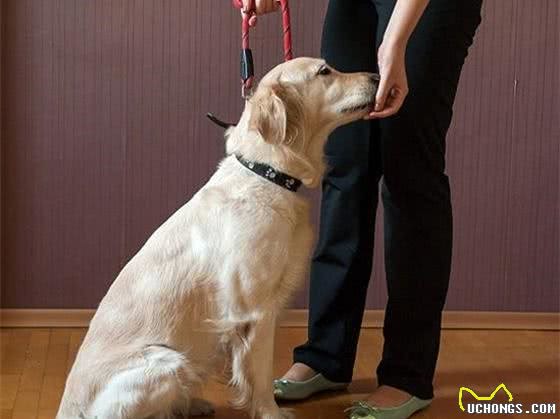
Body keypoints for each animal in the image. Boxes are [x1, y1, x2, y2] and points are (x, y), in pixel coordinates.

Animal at [57, 56, 378, 419]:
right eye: (325, 72)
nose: (377, 76)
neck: (268, 173)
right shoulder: (255, 310)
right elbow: (259, 374)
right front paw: (271, 412)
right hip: (167, 363)